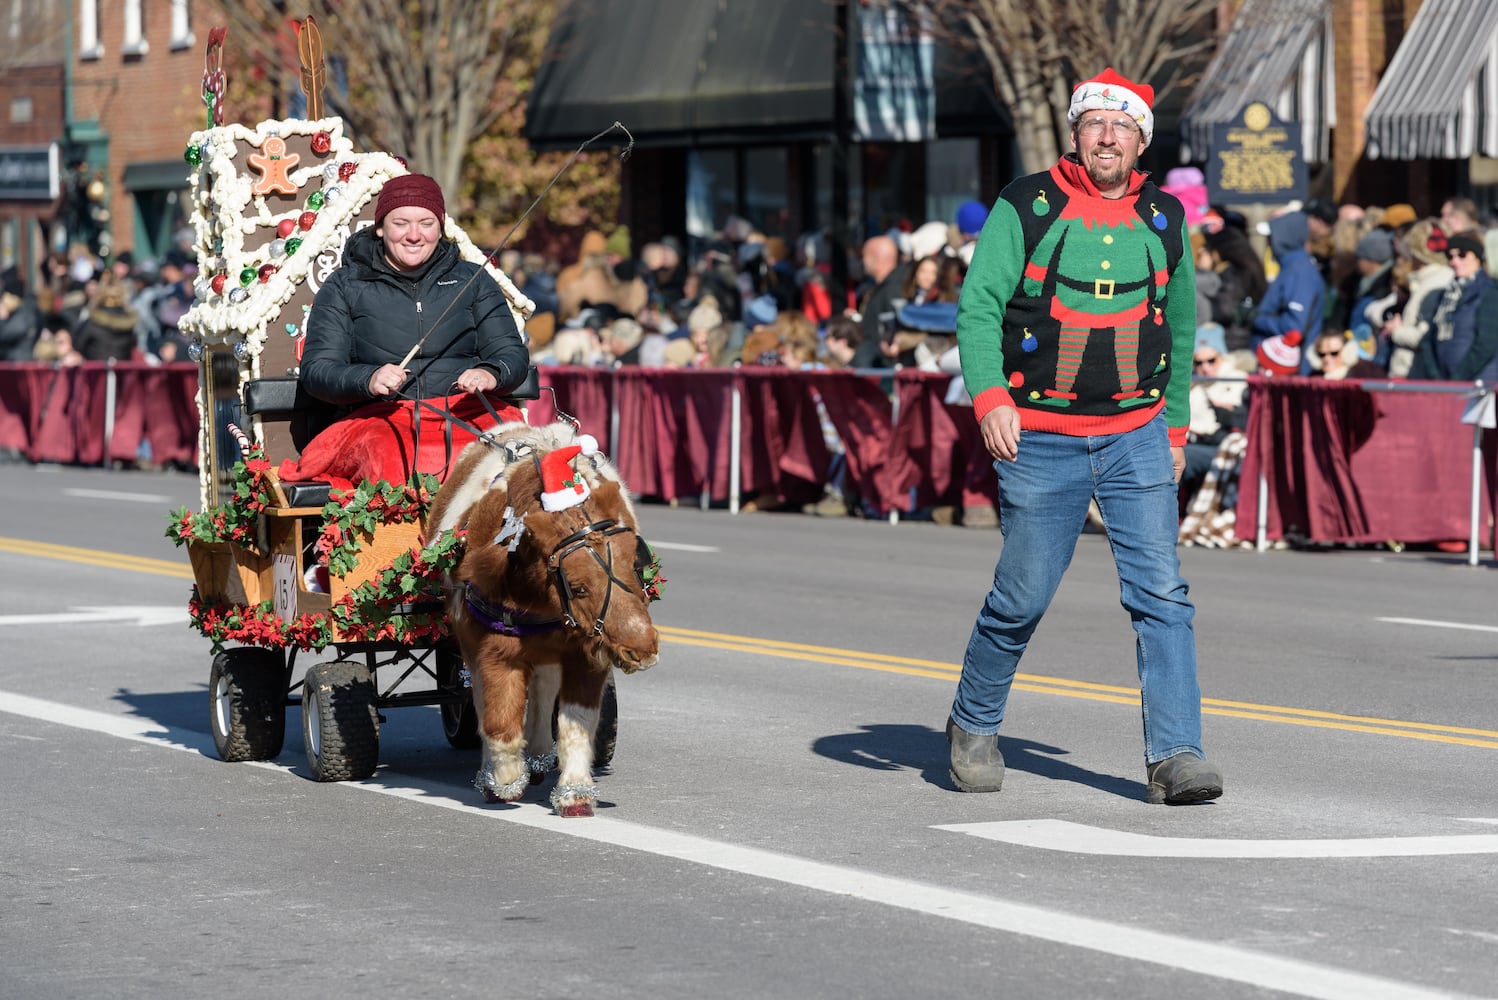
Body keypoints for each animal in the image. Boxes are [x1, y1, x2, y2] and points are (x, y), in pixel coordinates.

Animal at [422, 422, 656, 814]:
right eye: (577, 587)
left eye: (635, 565)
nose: (643, 648)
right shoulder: (492, 649)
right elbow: (499, 720)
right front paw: (503, 781)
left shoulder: (585, 651)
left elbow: (576, 719)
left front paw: (575, 794)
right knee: (483, 698)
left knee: (544, 686)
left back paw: (539, 756)